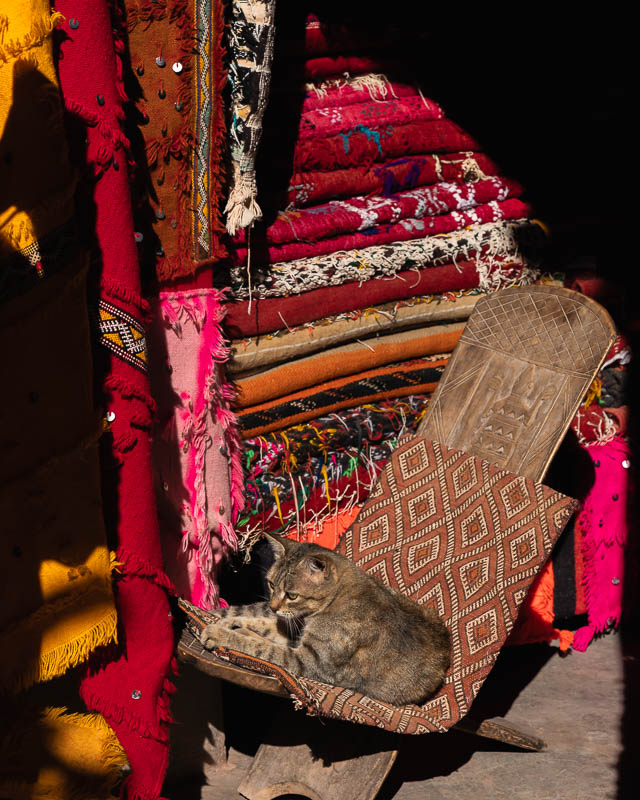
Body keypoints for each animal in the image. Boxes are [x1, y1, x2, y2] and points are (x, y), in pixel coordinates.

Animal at [200, 536, 450, 704]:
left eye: (292, 595)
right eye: (271, 584)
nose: (273, 606)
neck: (337, 597)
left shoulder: (309, 661)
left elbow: (262, 648)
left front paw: (220, 633)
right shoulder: (293, 632)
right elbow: (262, 625)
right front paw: (228, 623)